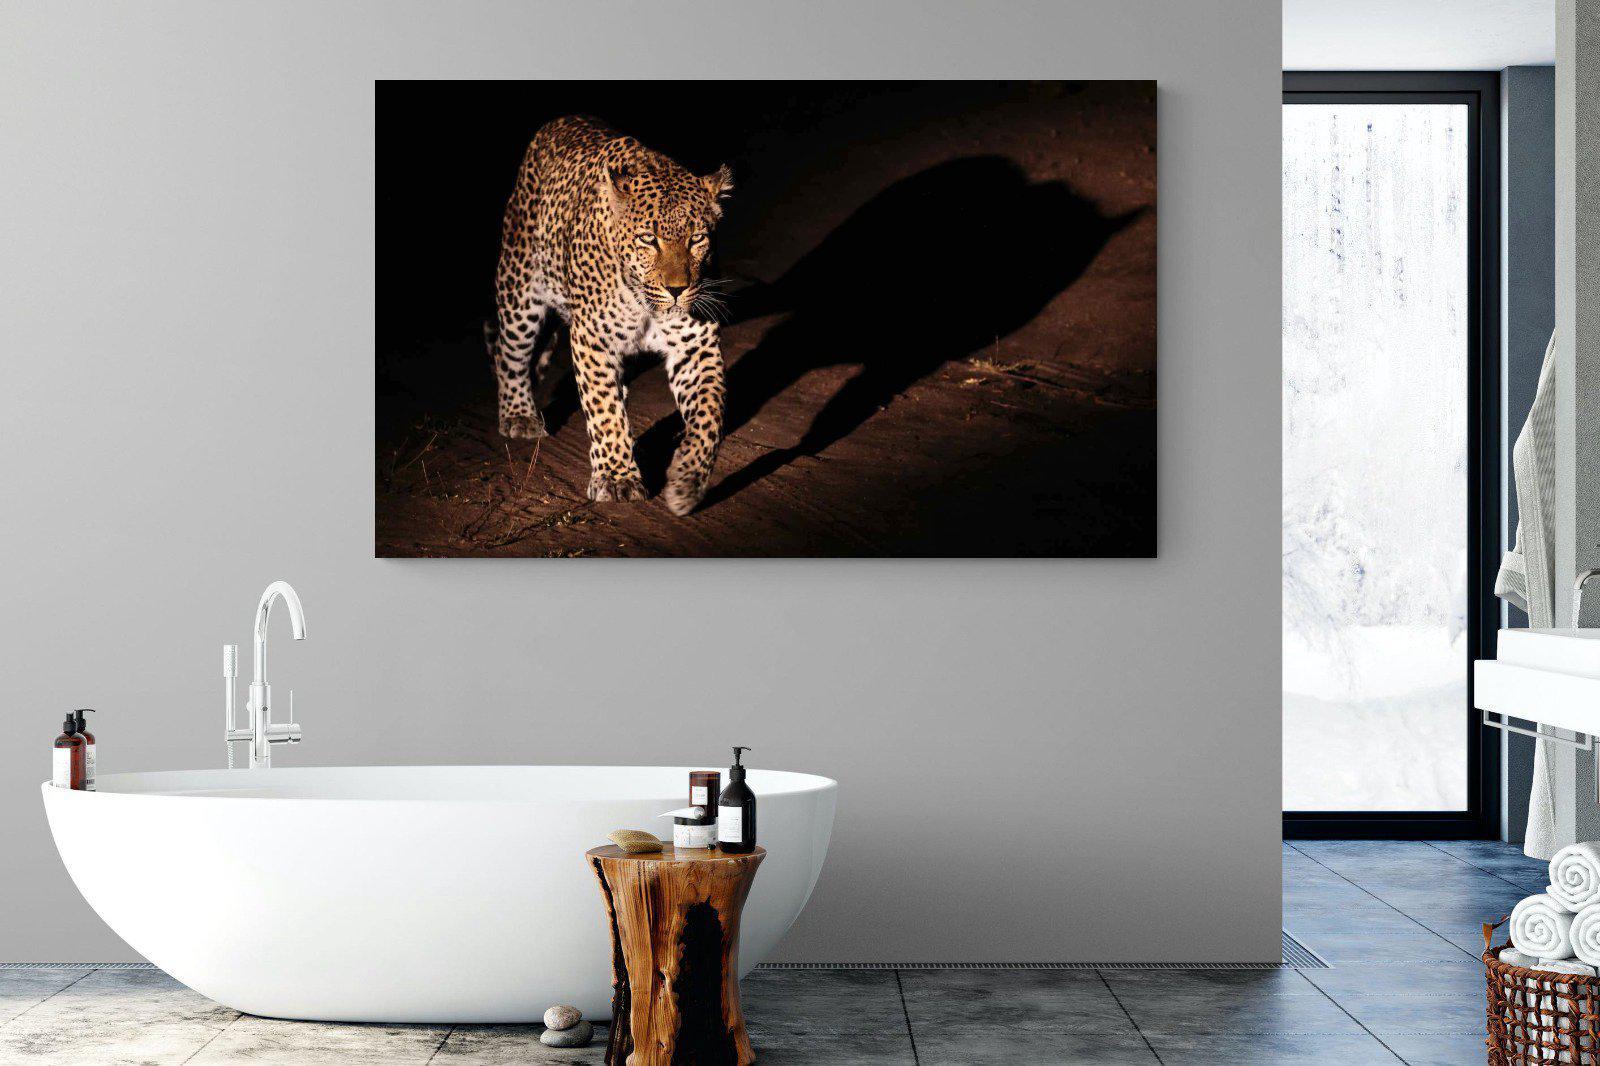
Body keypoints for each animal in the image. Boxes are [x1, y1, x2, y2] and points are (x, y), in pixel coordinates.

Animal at [489, 115, 732, 516]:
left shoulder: (695, 345)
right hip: (519, 290)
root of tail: (560, 121)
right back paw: (518, 416)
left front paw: (687, 481)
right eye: (648, 239)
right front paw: (617, 478)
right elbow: (603, 410)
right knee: (508, 354)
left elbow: (708, 415)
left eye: (697, 239)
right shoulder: (592, 339)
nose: (677, 290)